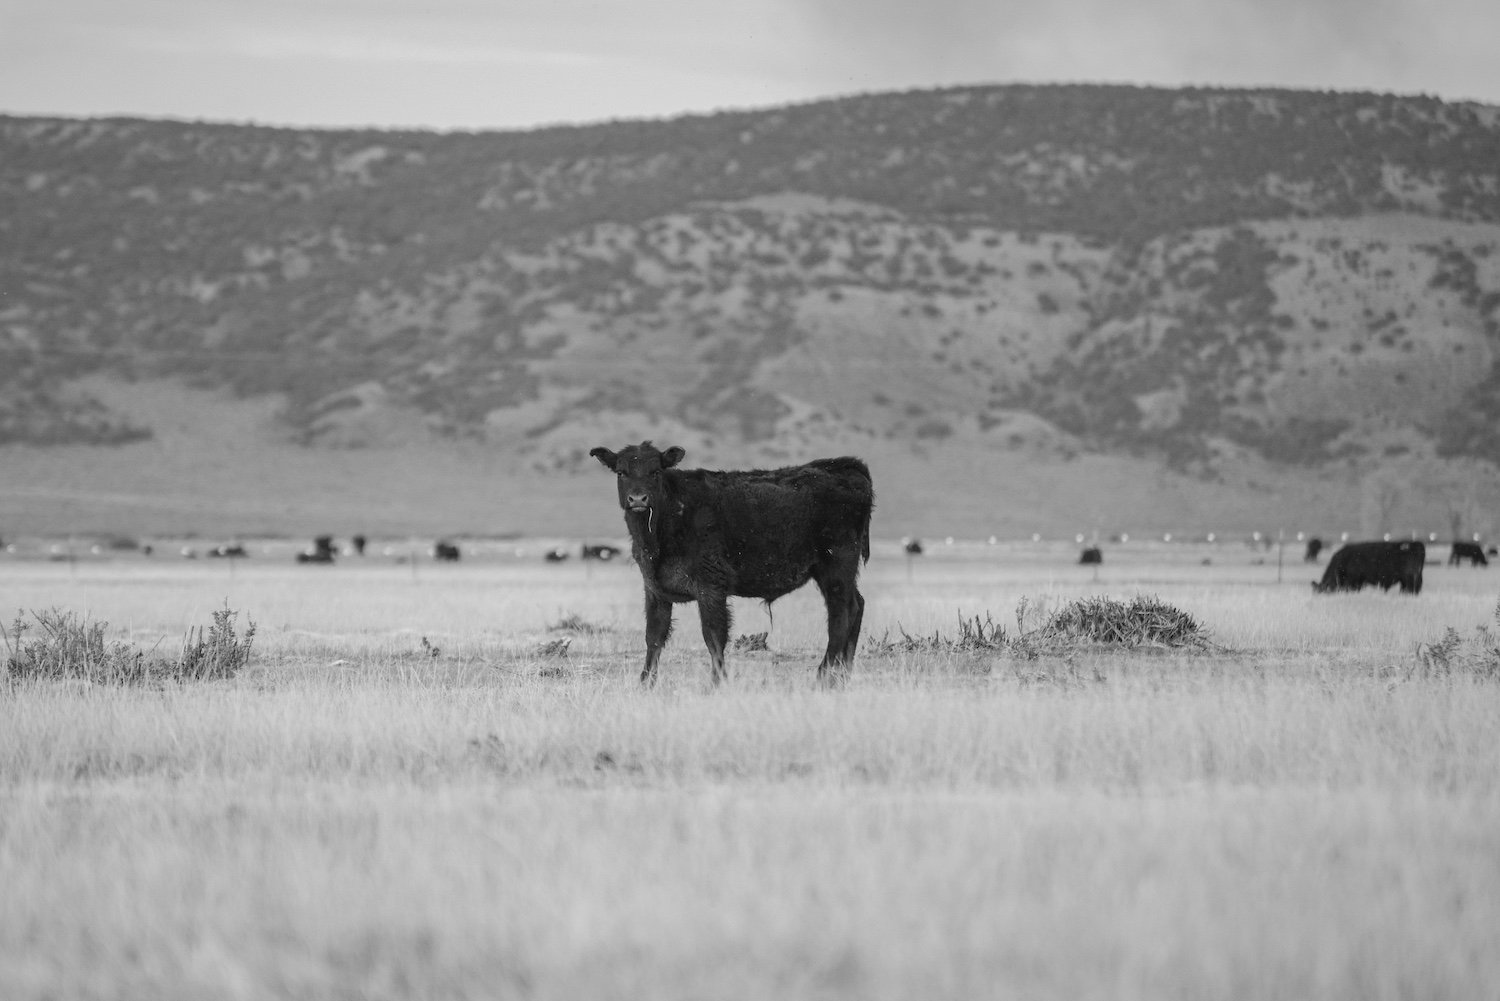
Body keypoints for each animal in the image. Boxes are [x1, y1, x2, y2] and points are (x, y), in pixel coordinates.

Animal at [590, 441, 873, 687]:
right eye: (621, 472)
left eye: (655, 471)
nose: (638, 499)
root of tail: (843, 466)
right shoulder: (655, 590)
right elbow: (654, 637)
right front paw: (645, 683)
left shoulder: (711, 587)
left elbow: (713, 637)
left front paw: (717, 682)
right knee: (857, 605)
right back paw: (843, 675)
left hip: (836, 566)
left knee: (841, 614)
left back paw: (825, 675)